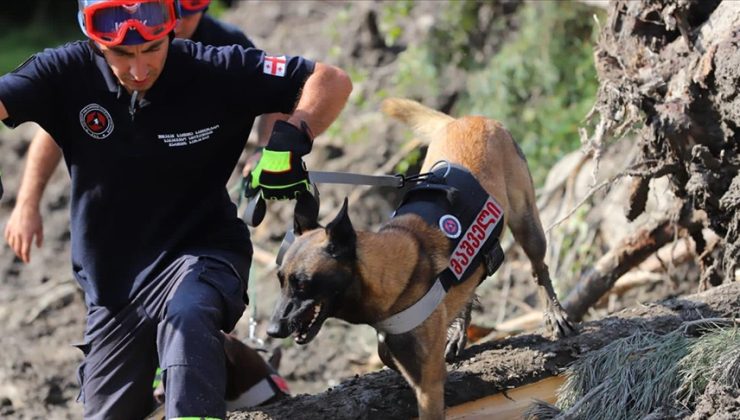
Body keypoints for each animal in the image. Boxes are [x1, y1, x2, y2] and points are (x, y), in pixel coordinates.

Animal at [268, 98, 576, 420]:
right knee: (472, 286)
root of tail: (468, 119)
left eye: (304, 284)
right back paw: (458, 332)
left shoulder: (427, 386)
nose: (272, 330)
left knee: (539, 269)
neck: (391, 266)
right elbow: (386, 353)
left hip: (527, 226)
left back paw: (554, 314)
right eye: (281, 281)